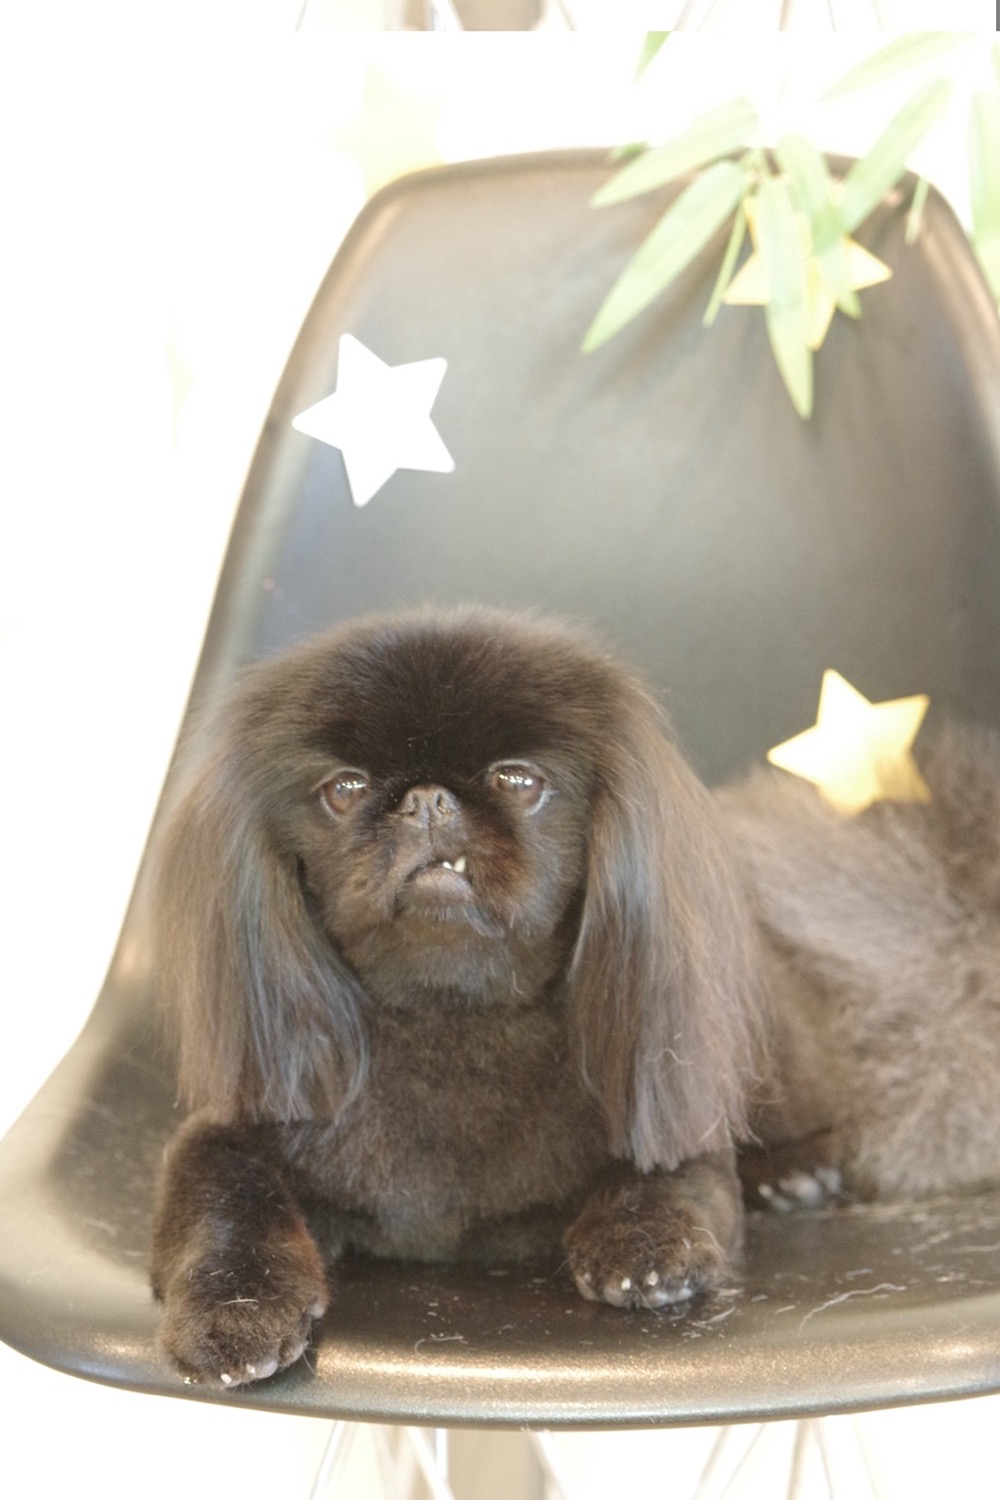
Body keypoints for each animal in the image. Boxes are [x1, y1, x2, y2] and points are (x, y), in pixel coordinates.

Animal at [150, 606, 765, 1386]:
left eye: (518, 780)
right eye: (344, 790)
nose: (426, 800)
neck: (450, 1015)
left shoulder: (667, 1097)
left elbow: (670, 1174)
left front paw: (648, 1240)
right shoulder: (231, 1122)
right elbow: (222, 1195)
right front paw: (232, 1310)